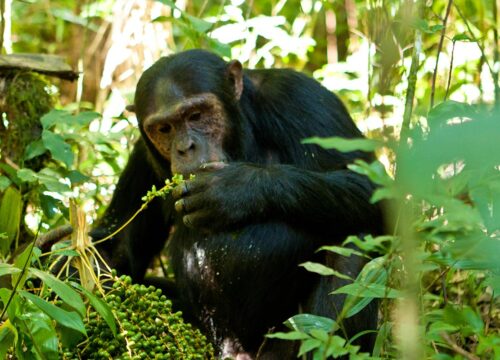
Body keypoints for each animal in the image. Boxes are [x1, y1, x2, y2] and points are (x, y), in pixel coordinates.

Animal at [94, 49, 382, 358]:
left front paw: (232, 188)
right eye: (164, 128)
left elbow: (372, 186)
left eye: (196, 115)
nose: (185, 148)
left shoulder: (303, 99)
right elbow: (116, 248)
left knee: (351, 243)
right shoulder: (142, 158)